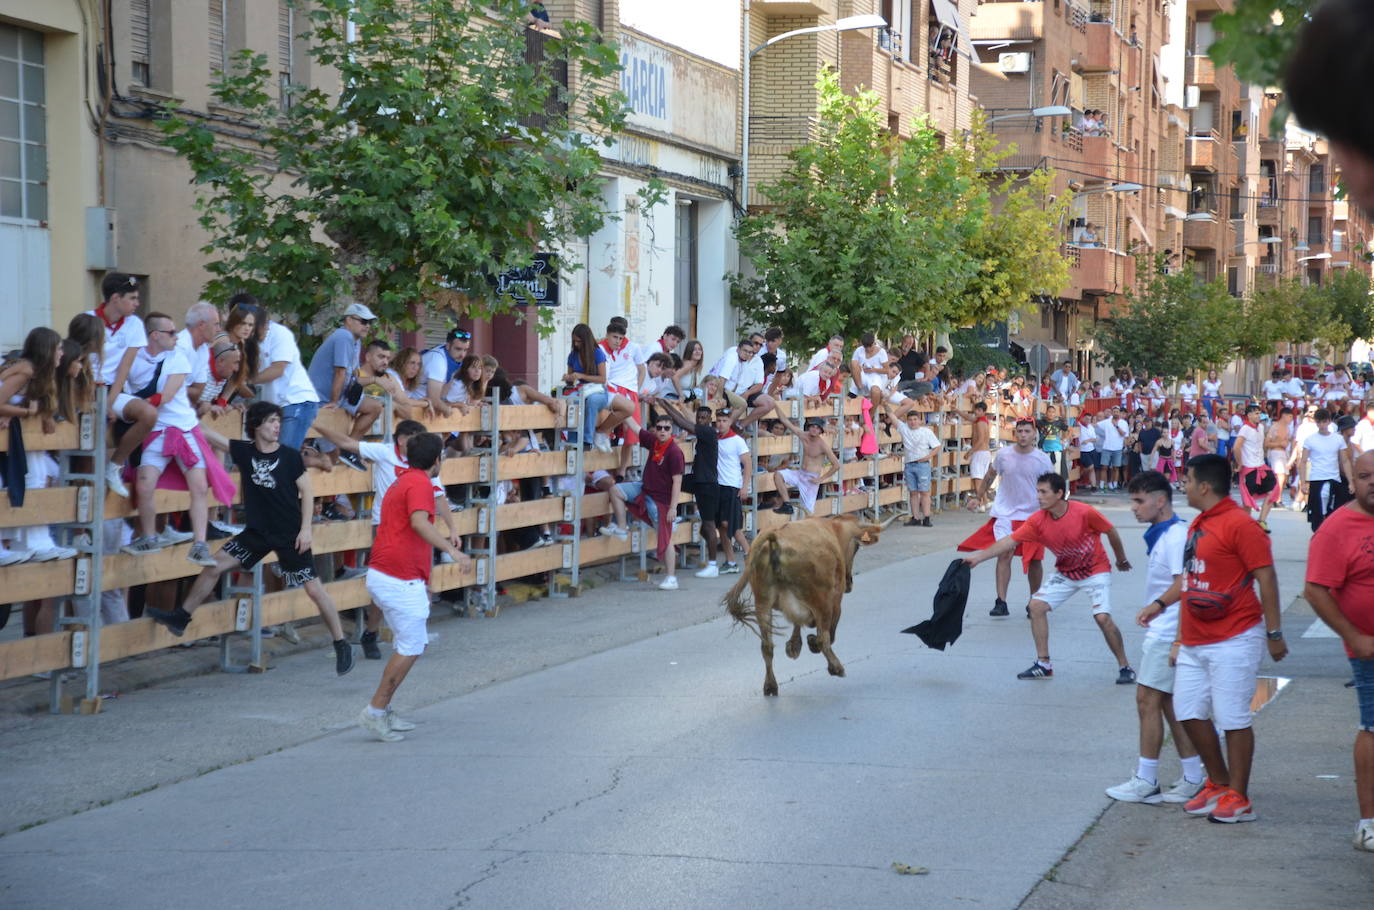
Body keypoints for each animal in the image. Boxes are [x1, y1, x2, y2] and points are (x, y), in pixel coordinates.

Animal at [730, 514, 879, 698]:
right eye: (857, 547)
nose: (850, 583)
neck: (832, 530)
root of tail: (775, 536)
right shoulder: (835, 600)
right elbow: (829, 633)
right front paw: (809, 643)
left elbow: (797, 624)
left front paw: (793, 646)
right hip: (821, 600)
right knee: (824, 638)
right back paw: (836, 667)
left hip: (762, 603)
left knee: (767, 647)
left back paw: (770, 686)